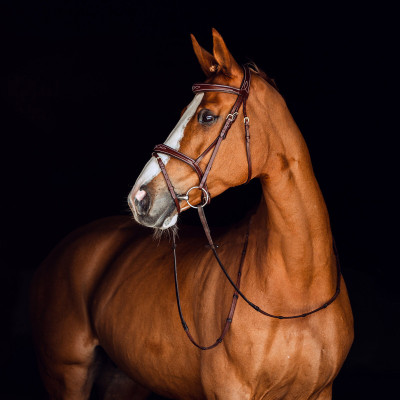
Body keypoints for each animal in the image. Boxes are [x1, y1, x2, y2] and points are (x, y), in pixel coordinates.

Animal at [30, 28, 354, 400]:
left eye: (207, 116)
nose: (139, 197)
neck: (296, 291)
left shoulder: (321, 391)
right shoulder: (230, 391)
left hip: (125, 380)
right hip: (65, 376)